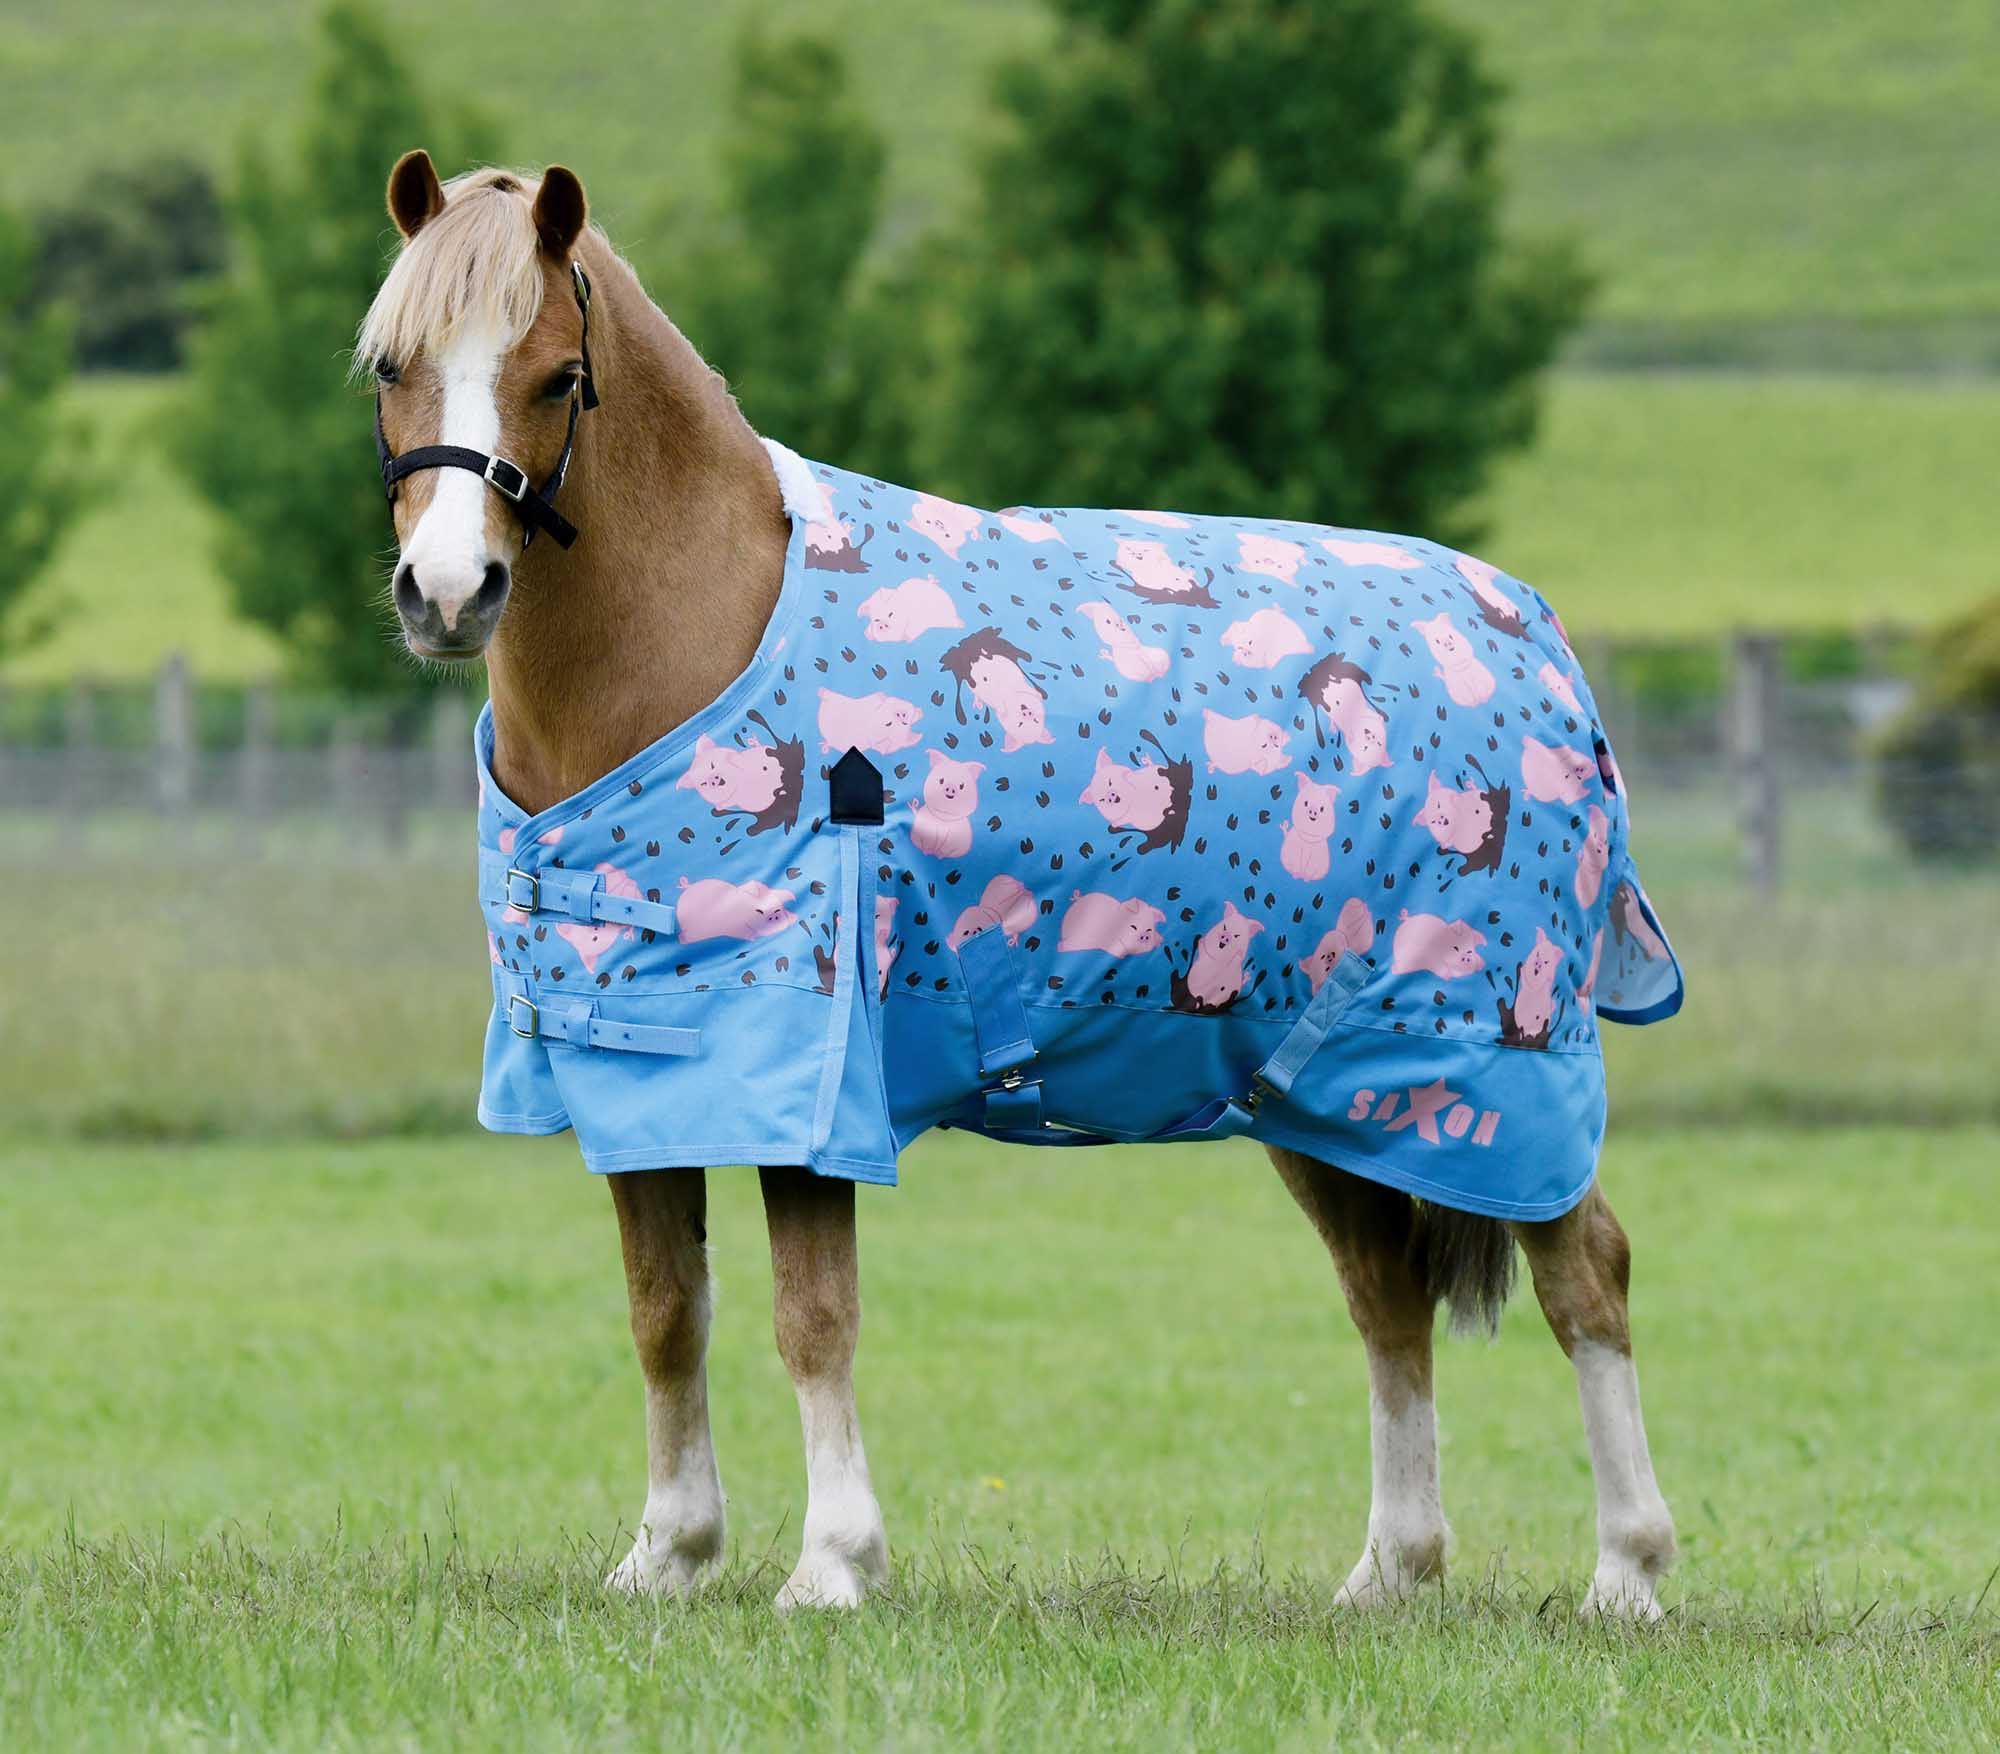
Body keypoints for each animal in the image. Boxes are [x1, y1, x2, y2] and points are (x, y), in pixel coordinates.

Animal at [358, 152, 1679, 1617]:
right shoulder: (638, 1064)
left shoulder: (814, 1073)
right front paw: (668, 1551)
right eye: (392, 365)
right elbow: (665, 1313)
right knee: (1385, 1292)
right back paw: (1390, 1570)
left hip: (1490, 1064)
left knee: (1586, 1269)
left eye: (554, 378)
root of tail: (1536, 639)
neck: (694, 638)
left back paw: (1626, 1569)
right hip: (1318, 1083)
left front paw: (831, 1561)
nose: (448, 593)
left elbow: (811, 1315)